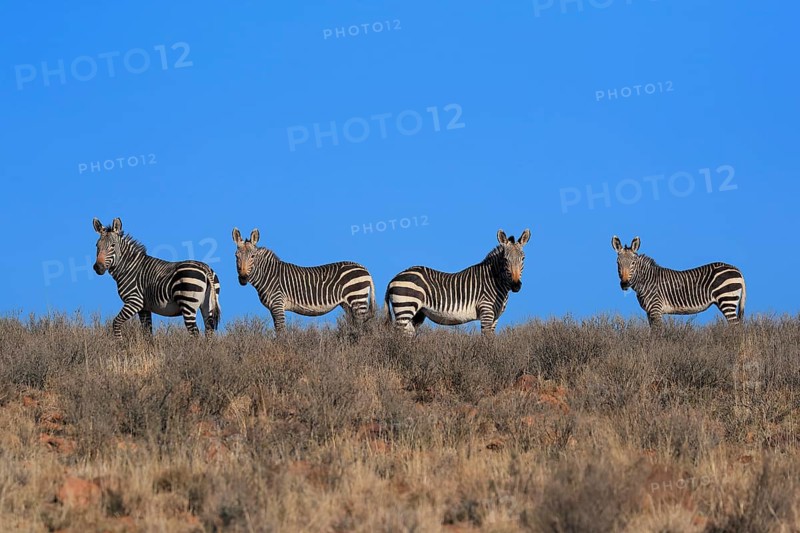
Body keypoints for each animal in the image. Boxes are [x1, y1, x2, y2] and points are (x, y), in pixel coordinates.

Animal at [93, 217, 221, 339]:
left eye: (113, 246)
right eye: (97, 246)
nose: (98, 267)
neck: (128, 267)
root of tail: (205, 268)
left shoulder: (134, 301)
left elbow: (116, 323)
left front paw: (121, 344)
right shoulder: (144, 308)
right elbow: (147, 333)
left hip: (188, 303)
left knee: (194, 333)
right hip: (208, 305)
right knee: (209, 330)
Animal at [232, 227, 376, 332]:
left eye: (252, 256)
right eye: (236, 256)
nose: (243, 278)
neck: (268, 274)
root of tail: (364, 268)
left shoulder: (278, 304)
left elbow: (281, 331)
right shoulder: (273, 308)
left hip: (357, 299)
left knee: (361, 325)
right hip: (347, 304)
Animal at [384, 229, 531, 336]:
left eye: (523, 258)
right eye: (505, 260)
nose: (516, 286)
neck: (495, 281)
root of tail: (394, 278)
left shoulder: (496, 317)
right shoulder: (486, 311)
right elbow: (486, 340)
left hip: (418, 313)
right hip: (405, 306)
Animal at [611, 236, 746, 326]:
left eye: (633, 263)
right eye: (618, 263)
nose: (624, 284)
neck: (646, 280)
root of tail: (737, 270)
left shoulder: (656, 308)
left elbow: (657, 333)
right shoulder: (649, 312)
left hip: (727, 299)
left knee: (735, 326)